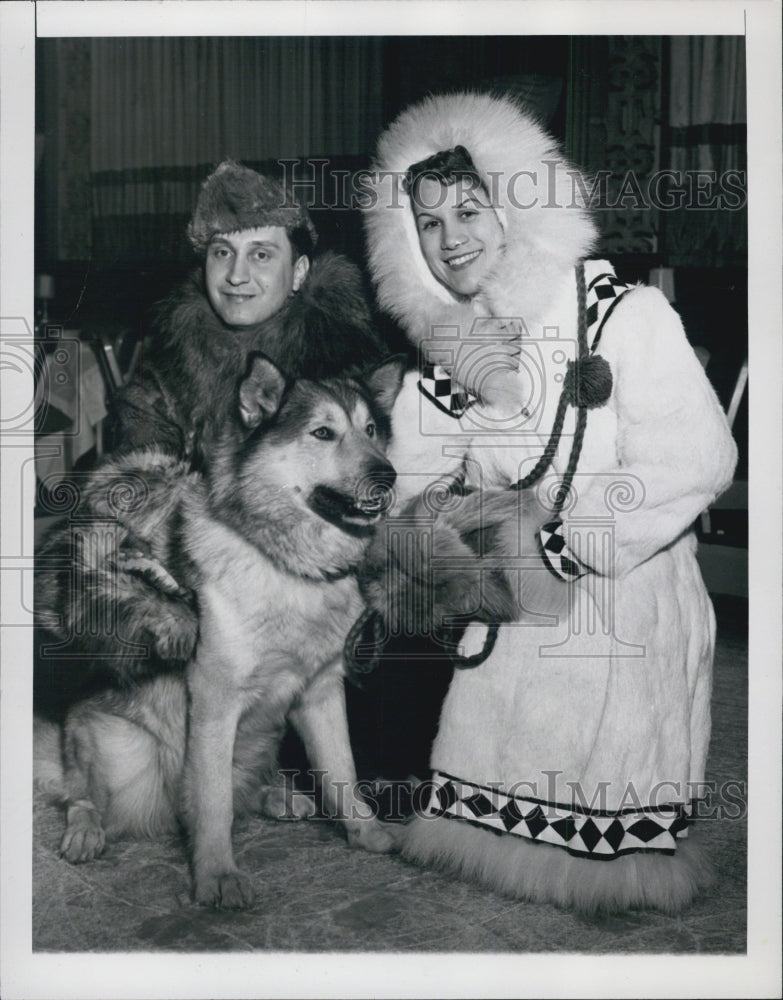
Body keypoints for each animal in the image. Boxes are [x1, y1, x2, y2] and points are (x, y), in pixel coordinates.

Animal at [33, 352, 404, 908]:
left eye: (372, 430)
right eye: (322, 432)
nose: (387, 475)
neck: (288, 565)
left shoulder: (320, 693)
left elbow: (342, 770)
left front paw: (364, 831)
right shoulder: (214, 701)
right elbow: (212, 804)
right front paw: (217, 877)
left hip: (264, 734)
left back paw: (276, 794)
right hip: (114, 742)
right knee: (82, 797)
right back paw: (85, 831)